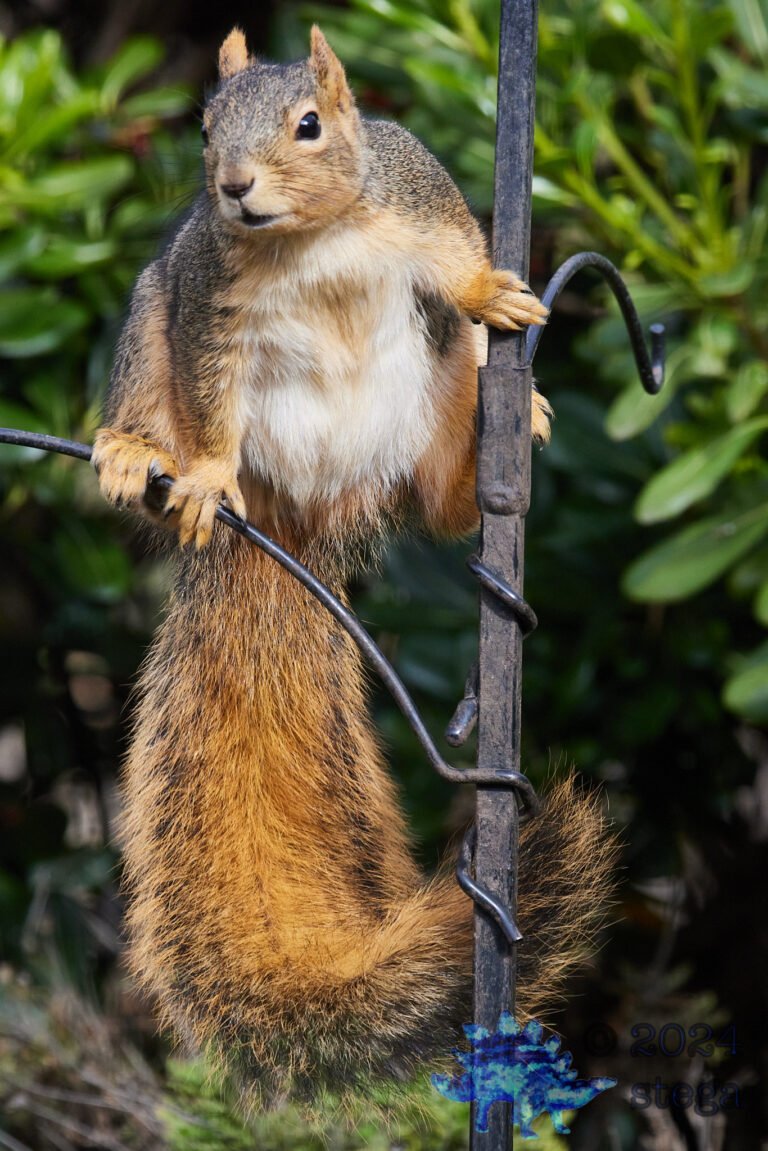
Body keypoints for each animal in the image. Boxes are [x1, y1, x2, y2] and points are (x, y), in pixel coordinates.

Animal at [92, 26, 615, 1111]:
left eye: (310, 124)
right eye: (203, 128)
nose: (233, 187)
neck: (311, 240)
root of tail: (299, 511)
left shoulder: (414, 195)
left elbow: (455, 251)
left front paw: (493, 289)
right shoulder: (208, 304)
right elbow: (212, 393)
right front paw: (204, 470)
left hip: (436, 384)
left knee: (443, 491)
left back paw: (497, 443)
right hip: (154, 324)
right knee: (161, 413)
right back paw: (134, 456)